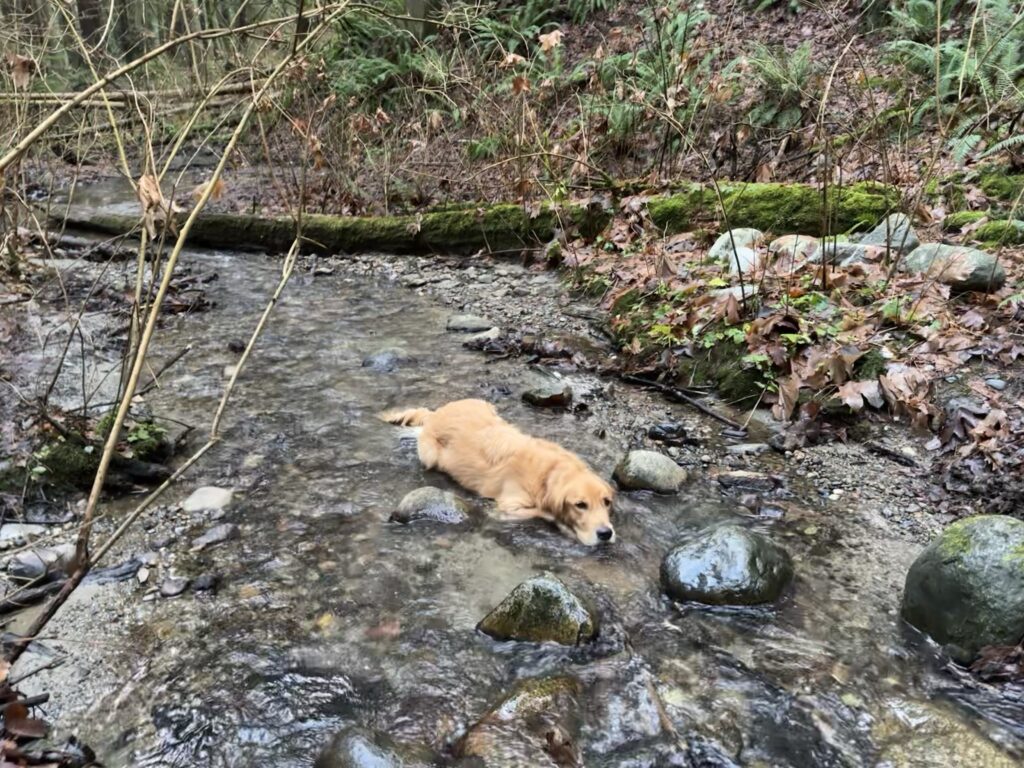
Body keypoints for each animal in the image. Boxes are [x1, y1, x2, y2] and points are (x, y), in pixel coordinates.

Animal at [380, 399, 610, 544]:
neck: (549, 473)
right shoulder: (509, 507)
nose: (606, 534)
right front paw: (566, 527)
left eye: (606, 502)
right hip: (430, 456)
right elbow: (542, 511)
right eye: (580, 505)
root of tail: (437, 412)